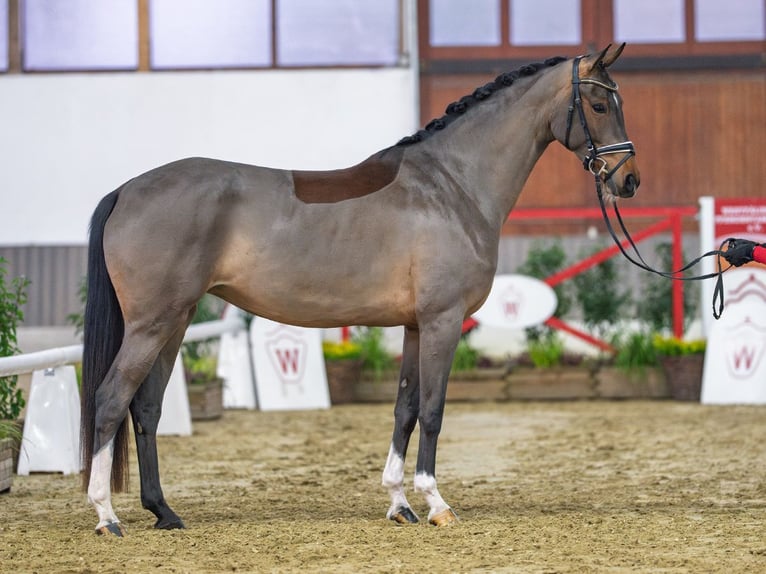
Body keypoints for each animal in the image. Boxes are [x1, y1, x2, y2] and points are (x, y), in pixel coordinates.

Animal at [81, 44, 639, 536]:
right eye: (597, 104)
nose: (629, 180)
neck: (452, 185)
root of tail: (126, 190)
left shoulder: (414, 325)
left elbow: (405, 409)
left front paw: (399, 504)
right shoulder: (443, 319)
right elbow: (433, 409)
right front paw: (436, 504)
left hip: (175, 320)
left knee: (145, 408)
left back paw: (163, 512)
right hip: (153, 323)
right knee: (110, 399)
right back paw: (107, 516)